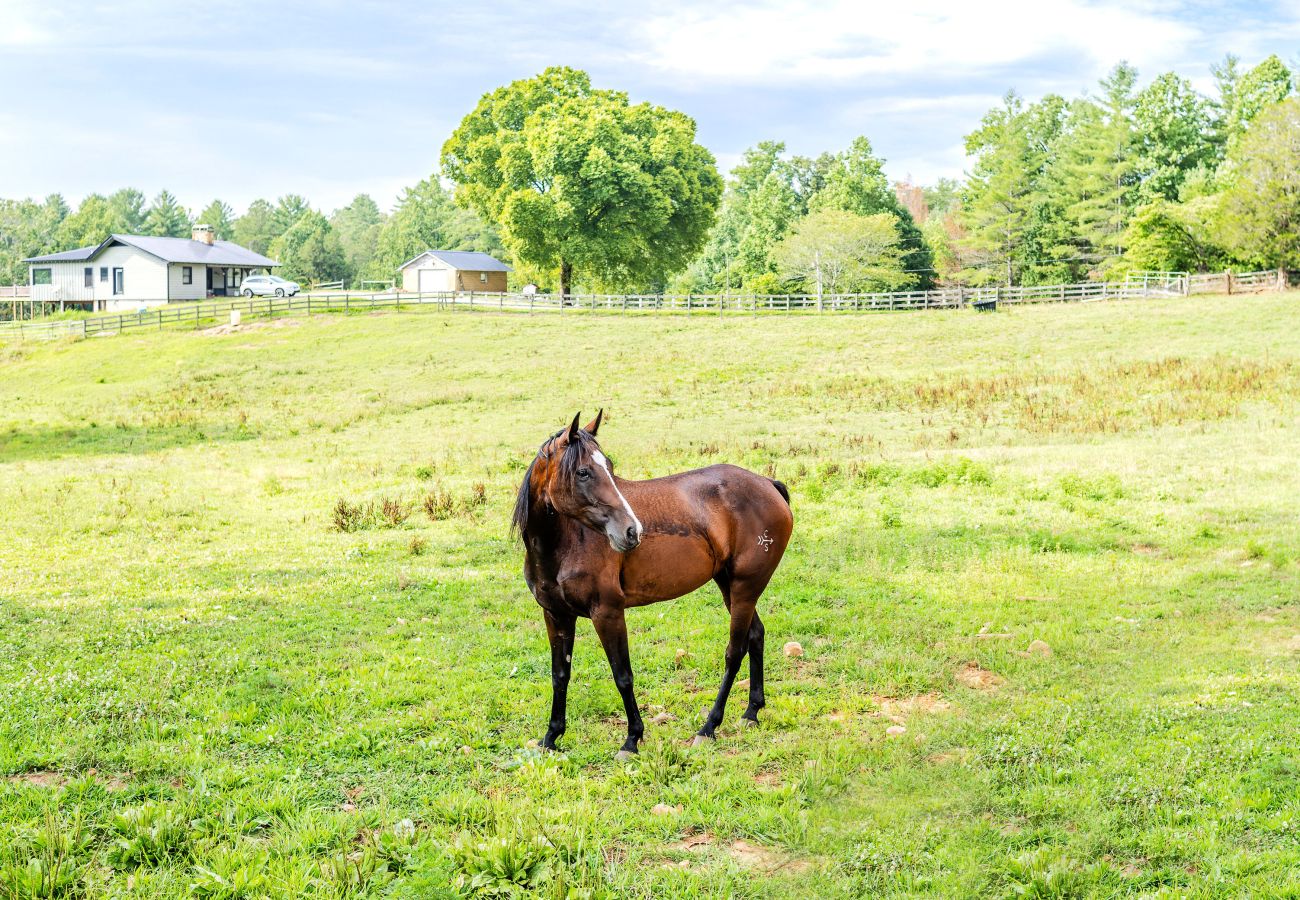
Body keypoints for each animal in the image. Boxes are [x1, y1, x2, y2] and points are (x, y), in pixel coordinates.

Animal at [509, 410, 790, 754]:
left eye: (609, 467)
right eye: (583, 472)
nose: (632, 531)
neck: (565, 543)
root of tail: (768, 484)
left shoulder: (608, 613)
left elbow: (622, 675)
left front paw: (632, 739)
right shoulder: (556, 615)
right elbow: (560, 674)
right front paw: (551, 737)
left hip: (744, 589)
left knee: (734, 651)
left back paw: (709, 726)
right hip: (730, 587)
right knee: (756, 635)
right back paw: (751, 711)